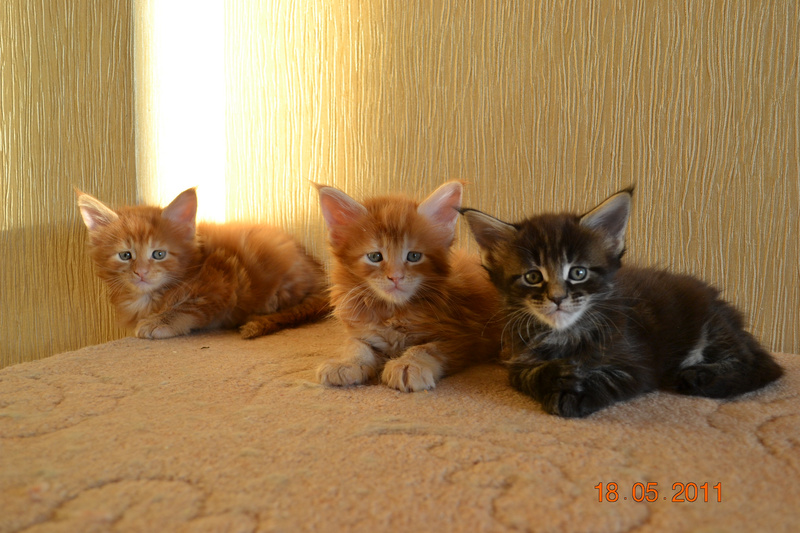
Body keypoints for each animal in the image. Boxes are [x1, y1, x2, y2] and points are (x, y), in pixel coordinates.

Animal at [77, 187, 329, 339]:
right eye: (125, 256)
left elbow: (188, 306)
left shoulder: (224, 279)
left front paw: (159, 321)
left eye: (159, 254)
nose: (141, 273)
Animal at [314, 181, 502, 392]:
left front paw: (408, 364)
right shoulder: (363, 330)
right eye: (374, 256)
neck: (393, 311)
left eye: (414, 256)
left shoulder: (463, 338)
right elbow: (355, 344)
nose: (396, 277)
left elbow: (427, 348)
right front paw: (346, 363)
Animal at [461, 189, 783, 417]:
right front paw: (558, 375)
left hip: (712, 325)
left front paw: (575, 395)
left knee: (766, 366)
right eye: (532, 276)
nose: (557, 297)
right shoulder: (516, 358)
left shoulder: (638, 362)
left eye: (578, 272)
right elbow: (526, 375)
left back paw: (700, 376)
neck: (564, 335)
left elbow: (612, 378)